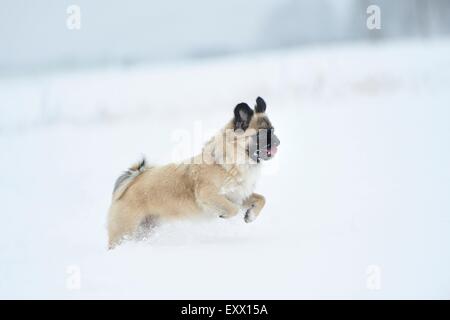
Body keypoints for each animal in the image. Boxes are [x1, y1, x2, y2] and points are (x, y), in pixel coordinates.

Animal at [107, 96, 280, 249]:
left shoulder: (237, 195)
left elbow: (261, 199)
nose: (278, 142)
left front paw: (250, 216)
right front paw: (227, 214)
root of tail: (131, 182)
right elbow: (233, 209)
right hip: (124, 232)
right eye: (261, 134)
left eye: (272, 130)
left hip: (144, 230)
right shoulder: (210, 195)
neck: (229, 162)